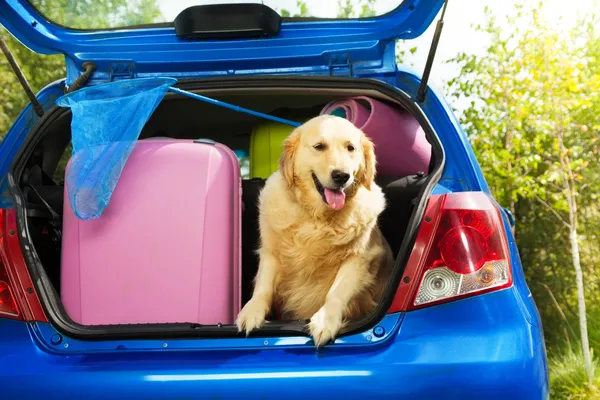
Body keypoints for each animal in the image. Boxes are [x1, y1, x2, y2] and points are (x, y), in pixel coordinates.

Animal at [237, 114, 396, 346]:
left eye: (351, 148)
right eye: (319, 146)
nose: (342, 176)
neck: (317, 218)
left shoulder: (361, 257)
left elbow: (337, 291)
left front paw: (325, 321)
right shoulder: (271, 252)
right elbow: (263, 286)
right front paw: (251, 312)